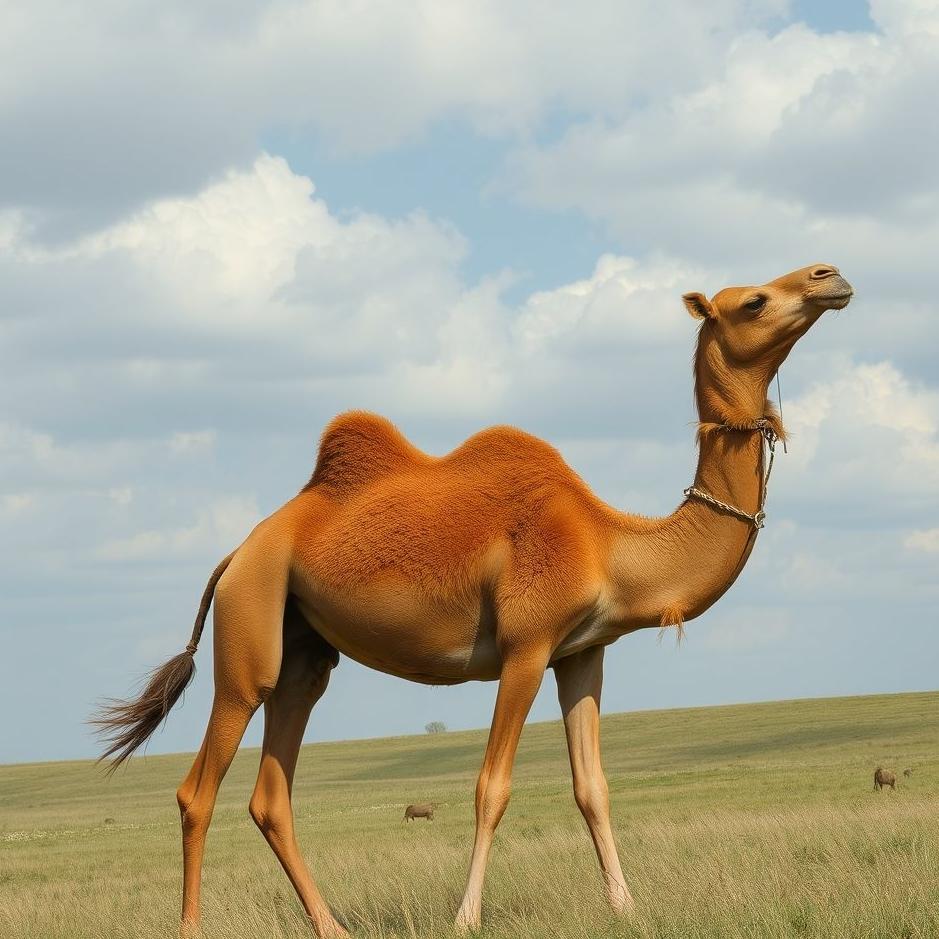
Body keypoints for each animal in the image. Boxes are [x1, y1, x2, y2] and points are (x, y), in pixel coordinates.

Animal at [94, 263, 852, 936]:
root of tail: (237, 552)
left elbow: (592, 787)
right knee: (200, 785)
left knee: (271, 793)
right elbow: (493, 786)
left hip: (305, 651)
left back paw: (333, 925)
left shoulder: (583, 653)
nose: (829, 276)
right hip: (248, 630)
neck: (609, 544)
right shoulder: (526, 647)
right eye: (753, 301)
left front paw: (625, 907)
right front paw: (466, 917)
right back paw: (192, 925)